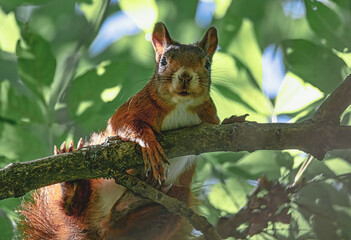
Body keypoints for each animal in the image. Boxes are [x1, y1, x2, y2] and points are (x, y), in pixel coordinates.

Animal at [19, 22, 220, 240]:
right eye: (164, 61)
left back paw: (127, 205)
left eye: (207, 64)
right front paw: (148, 143)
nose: (185, 76)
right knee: (75, 211)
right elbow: (123, 123)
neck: (181, 105)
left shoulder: (211, 119)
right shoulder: (135, 106)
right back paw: (74, 187)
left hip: (178, 198)